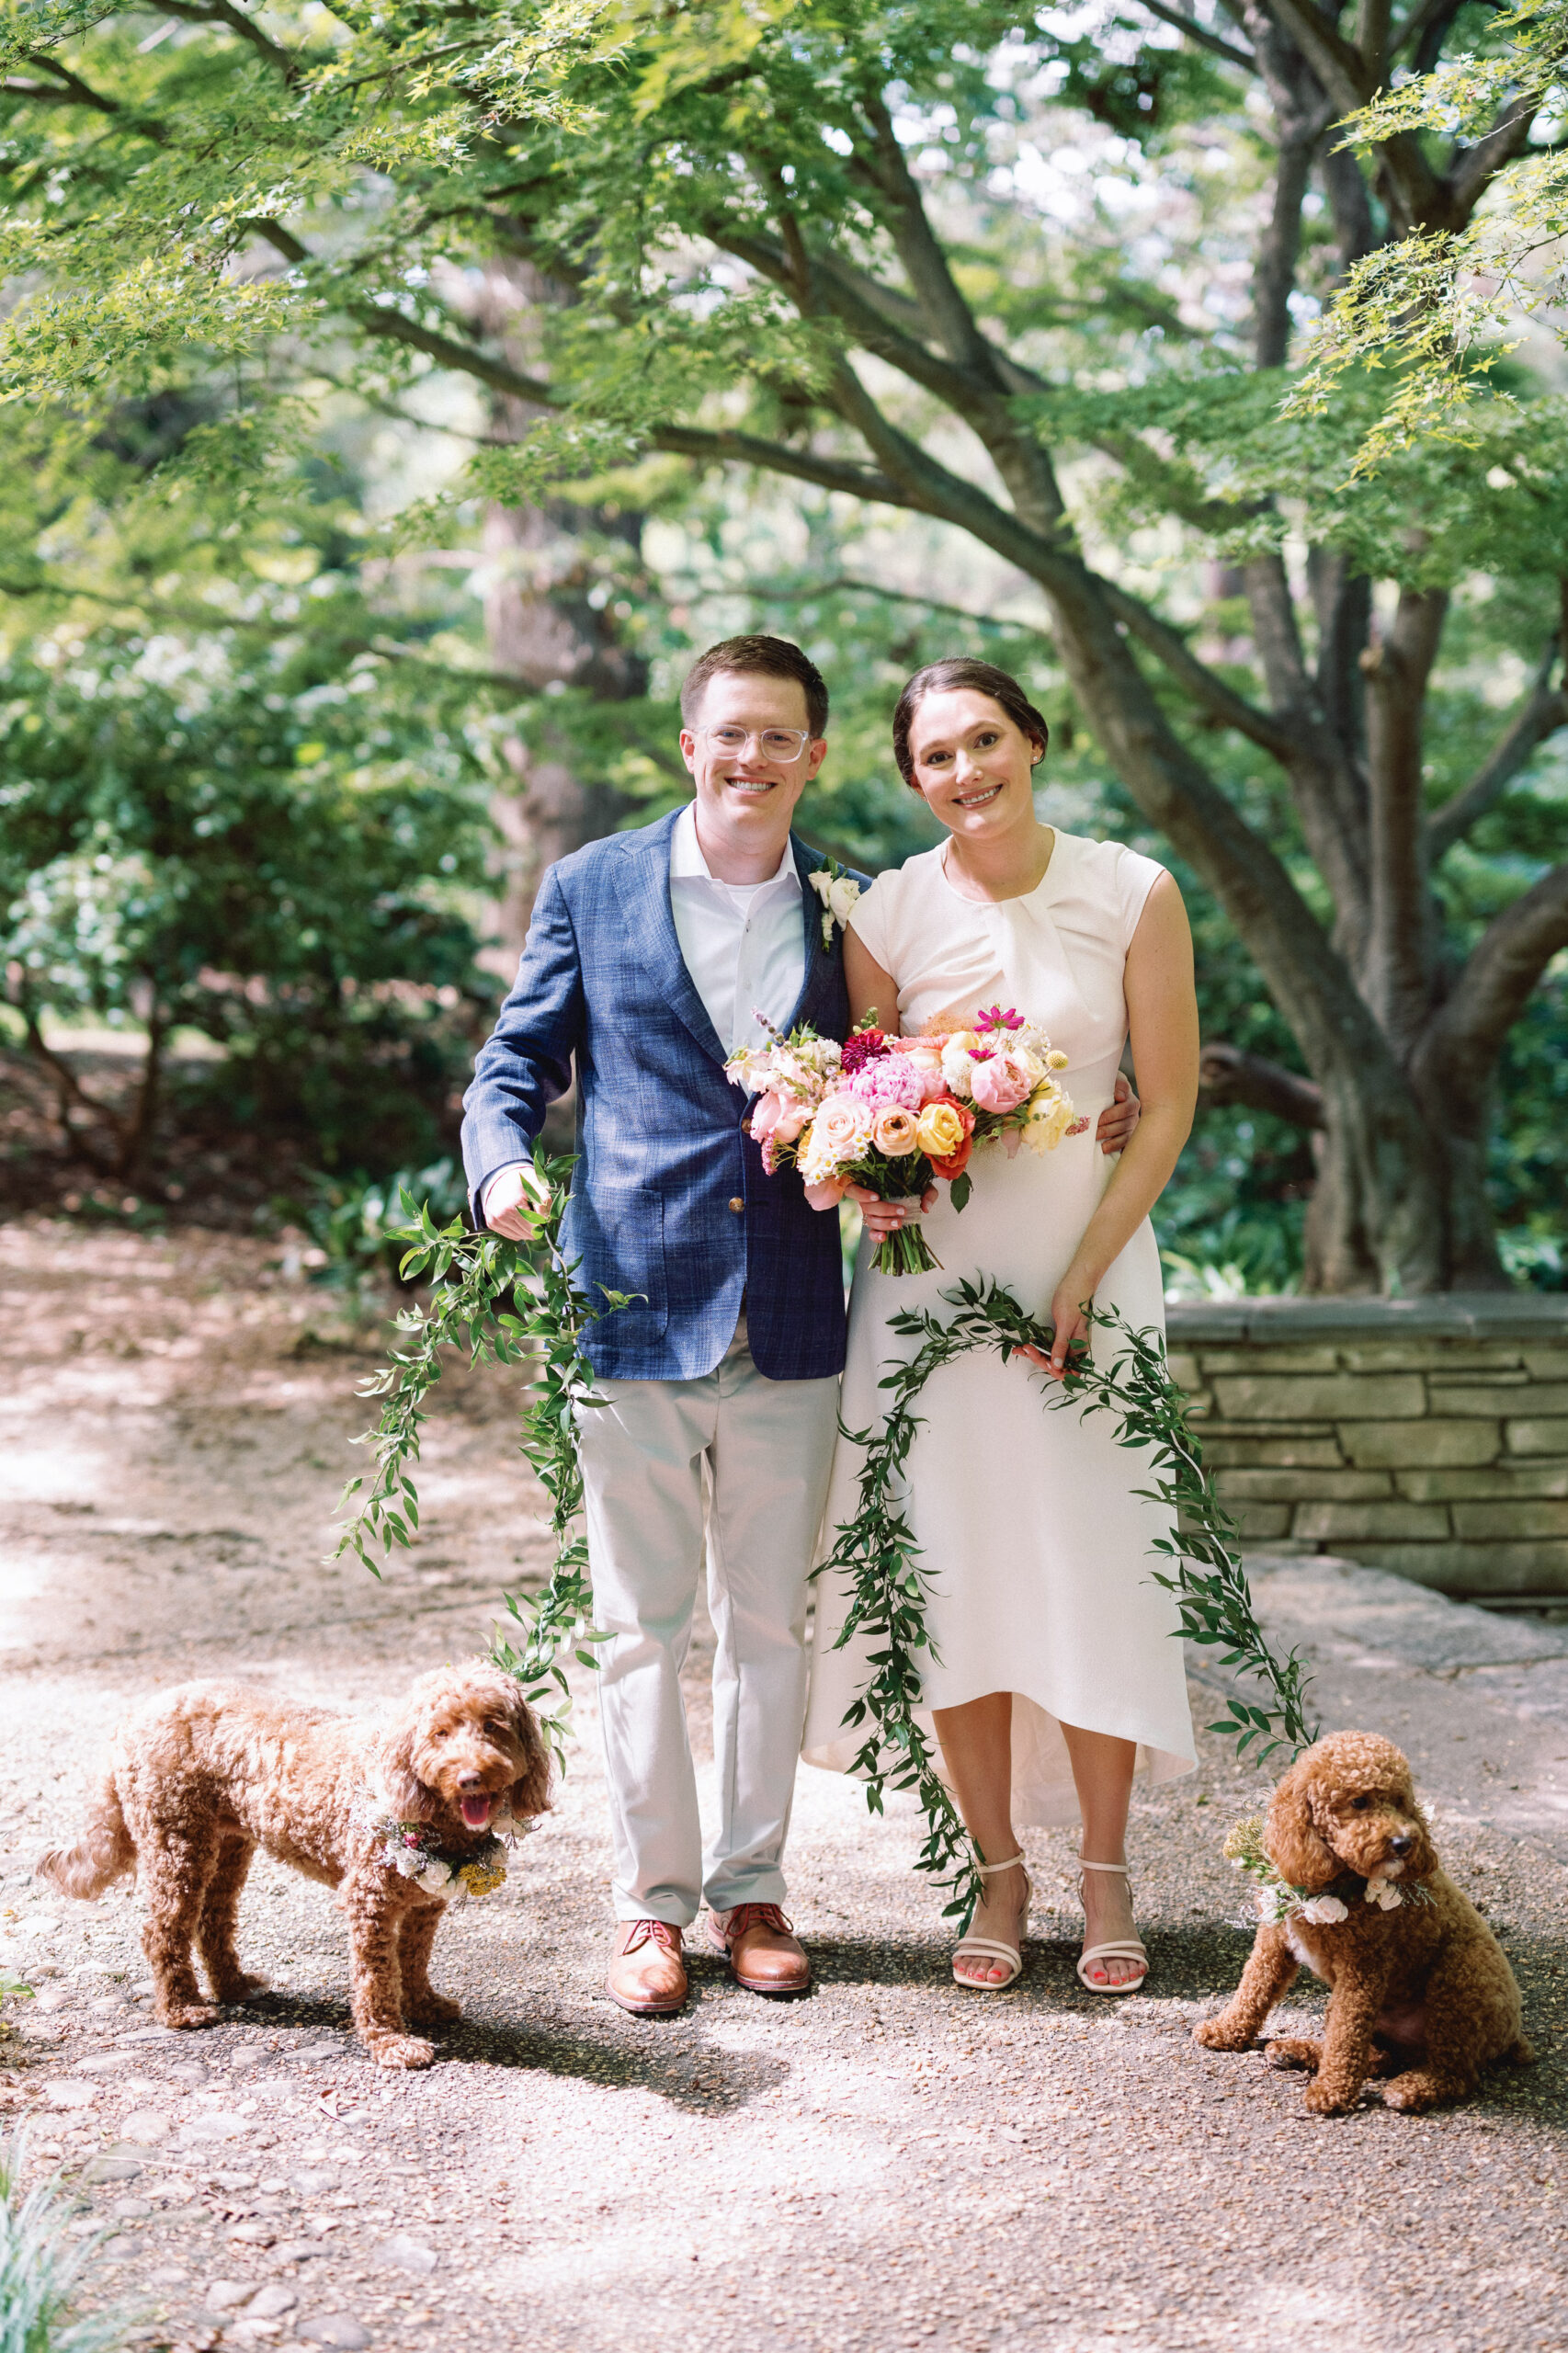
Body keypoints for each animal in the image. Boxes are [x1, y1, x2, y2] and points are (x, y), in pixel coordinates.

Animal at [38, 1656, 548, 2061]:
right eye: (440, 1734)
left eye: (493, 1726)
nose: (470, 1778)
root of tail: (134, 1716)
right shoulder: (369, 1902)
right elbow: (376, 1976)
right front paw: (390, 2042)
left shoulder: (425, 1904)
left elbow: (415, 1958)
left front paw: (423, 2005)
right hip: (175, 1841)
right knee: (162, 1929)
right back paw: (182, 2008)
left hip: (228, 1846)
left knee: (212, 1920)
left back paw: (235, 1985)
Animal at [1191, 1732, 1516, 2118]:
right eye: (1359, 1801)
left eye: (1400, 1802)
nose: (1403, 1842)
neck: (1335, 1882)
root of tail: (1516, 2037)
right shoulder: (1275, 1941)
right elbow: (1254, 1986)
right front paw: (1226, 2031)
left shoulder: (1362, 1968)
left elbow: (1346, 2036)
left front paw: (1332, 2092)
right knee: (1377, 2056)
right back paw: (1295, 2052)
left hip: (1458, 1980)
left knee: (1455, 2070)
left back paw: (1411, 2088)